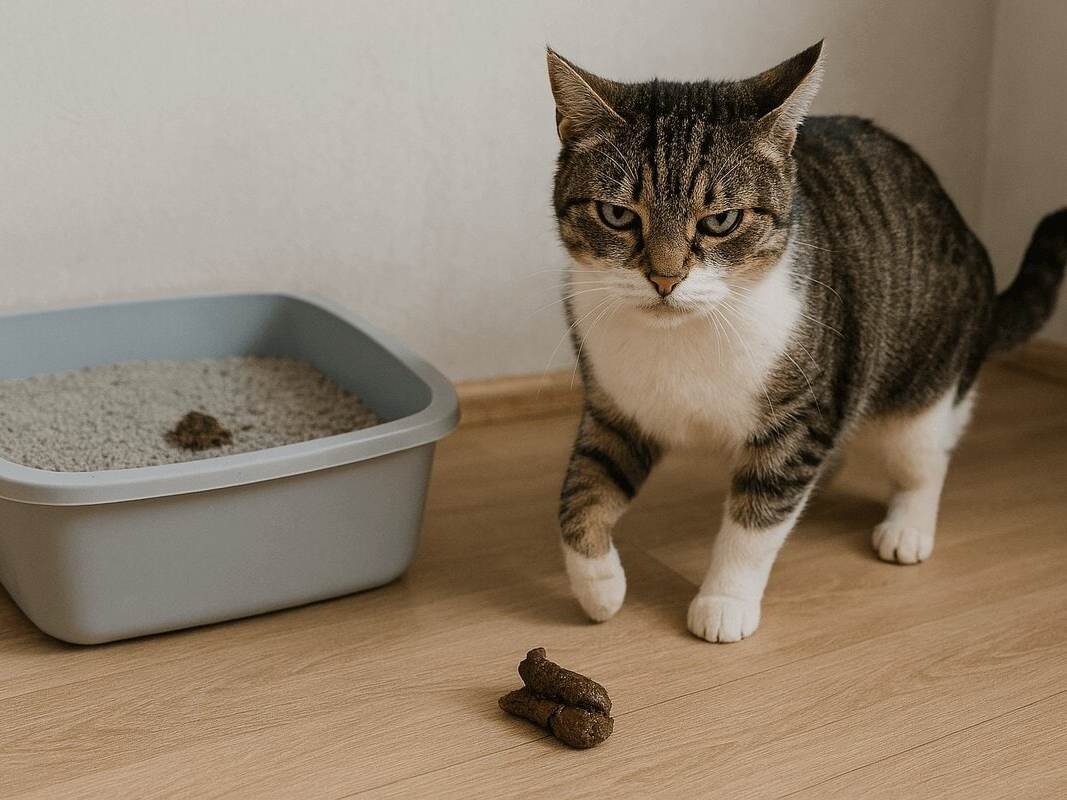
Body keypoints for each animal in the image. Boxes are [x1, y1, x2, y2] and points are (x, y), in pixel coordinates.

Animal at [547, 41, 1067, 642]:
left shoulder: (800, 415)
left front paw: (724, 602)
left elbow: (754, 520)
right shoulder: (616, 409)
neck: (684, 335)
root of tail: (966, 231)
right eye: (617, 214)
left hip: (923, 388)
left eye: (721, 221)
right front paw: (599, 589)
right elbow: (581, 492)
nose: (664, 278)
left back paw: (907, 527)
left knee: (927, 458)